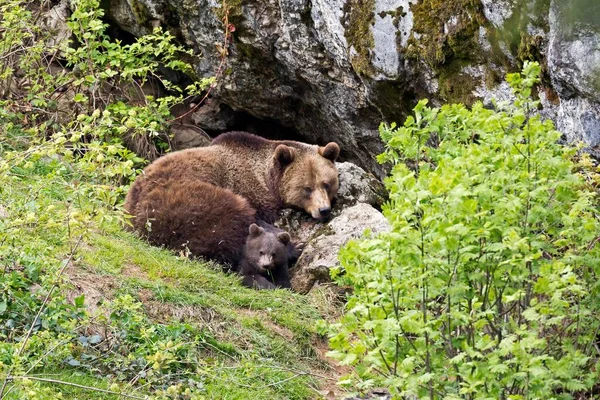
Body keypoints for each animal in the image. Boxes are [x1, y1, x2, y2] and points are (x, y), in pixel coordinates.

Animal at [124, 133, 340, 274]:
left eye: (326, 183)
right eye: (306, 188)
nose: (323, 210)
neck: (265, 178)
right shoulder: (247, 189)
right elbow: (259, 219)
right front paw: (292, 243)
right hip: (181, 202)